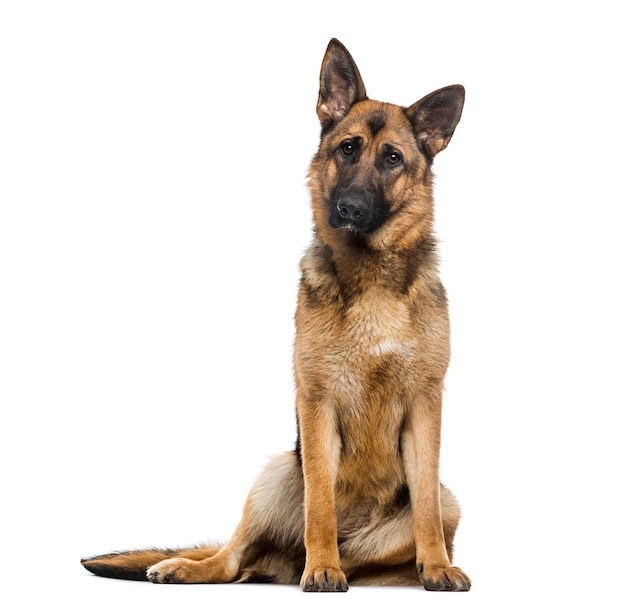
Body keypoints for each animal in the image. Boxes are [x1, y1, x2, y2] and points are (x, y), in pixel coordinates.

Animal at [81, 38, 468, 592]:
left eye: (392, 158)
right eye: (347, 149)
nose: (349, 209)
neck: (369, 274)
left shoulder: (425, 404)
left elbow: (427, 513)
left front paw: (436, 566)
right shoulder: (316, 403)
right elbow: (320, 504)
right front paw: (323, 566)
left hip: (443, 501)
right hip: (276, 474)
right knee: (230, 558)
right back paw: (193, 567)